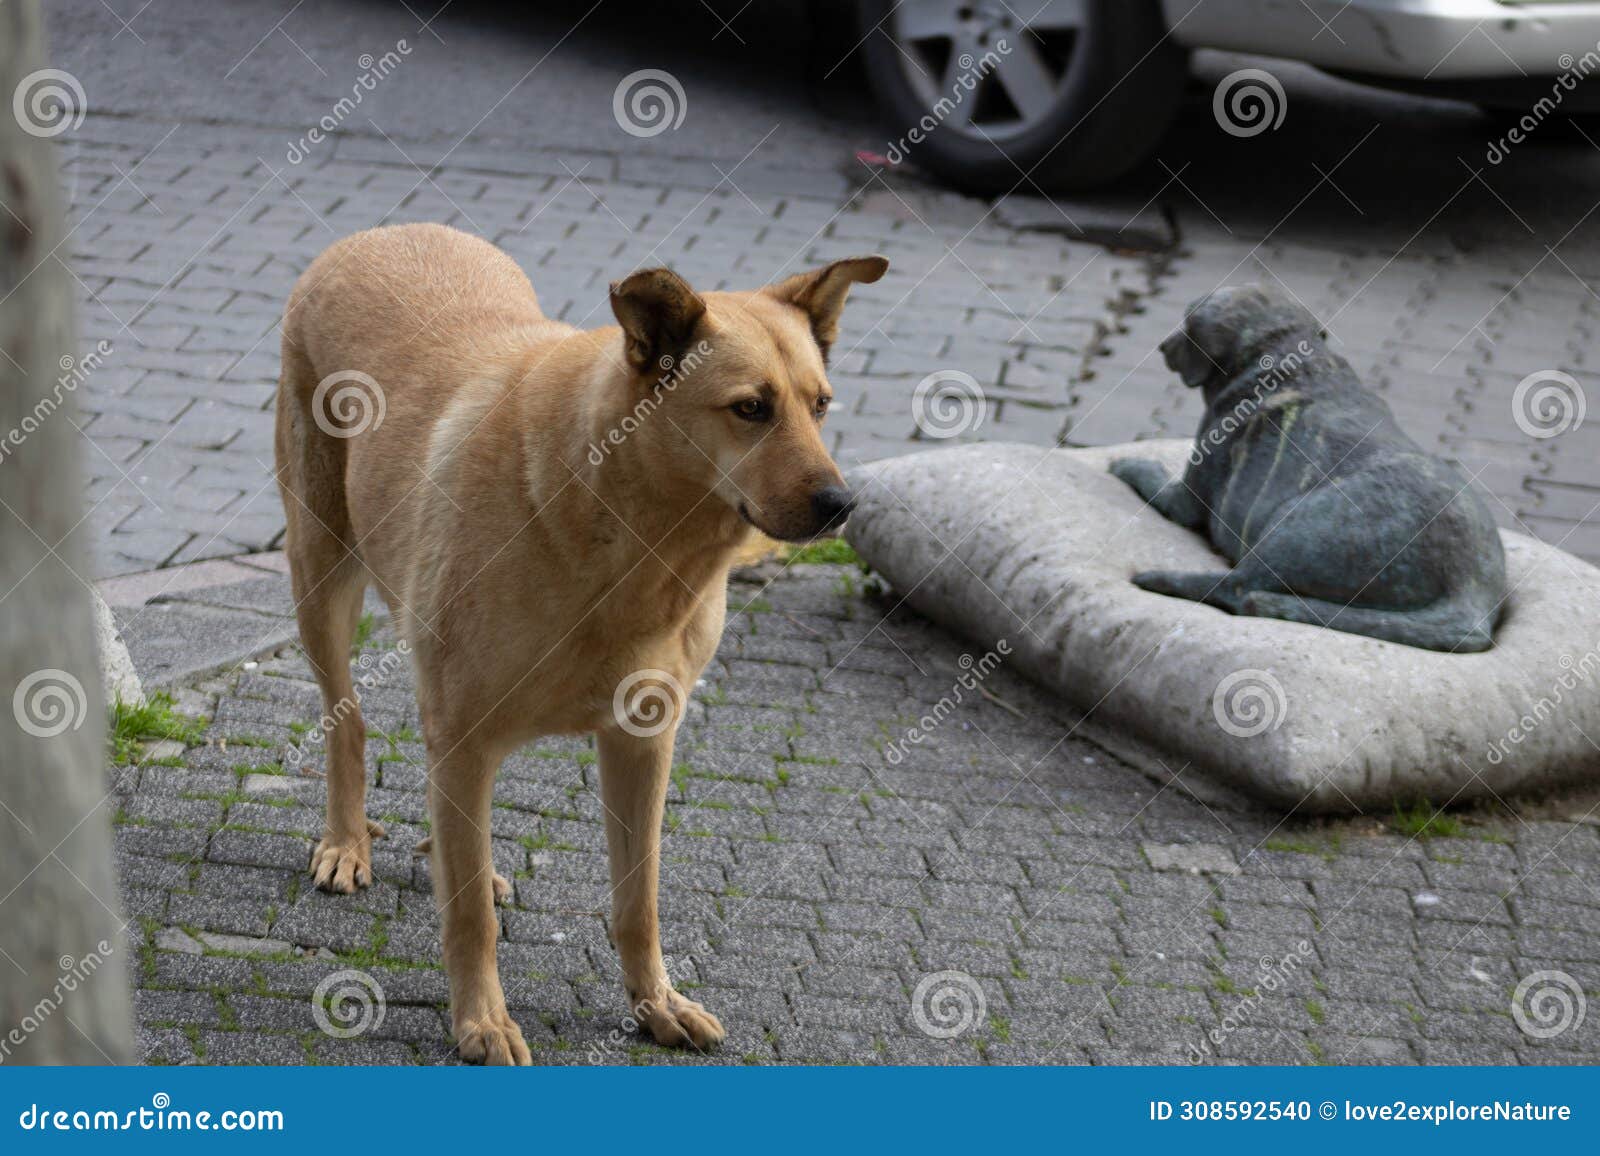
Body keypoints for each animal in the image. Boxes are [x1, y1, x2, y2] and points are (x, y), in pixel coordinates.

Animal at [275, 222, 889, 1063]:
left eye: (820, 407)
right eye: (751, 409)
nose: (842, 504)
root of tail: (380, 231)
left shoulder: (643, 740)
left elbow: (639, 901)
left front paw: (656, 1004)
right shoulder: (463, 734)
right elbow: (470, 921)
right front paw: (482, 1021)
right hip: (321, 573)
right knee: (349, 719)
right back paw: (346, 841)